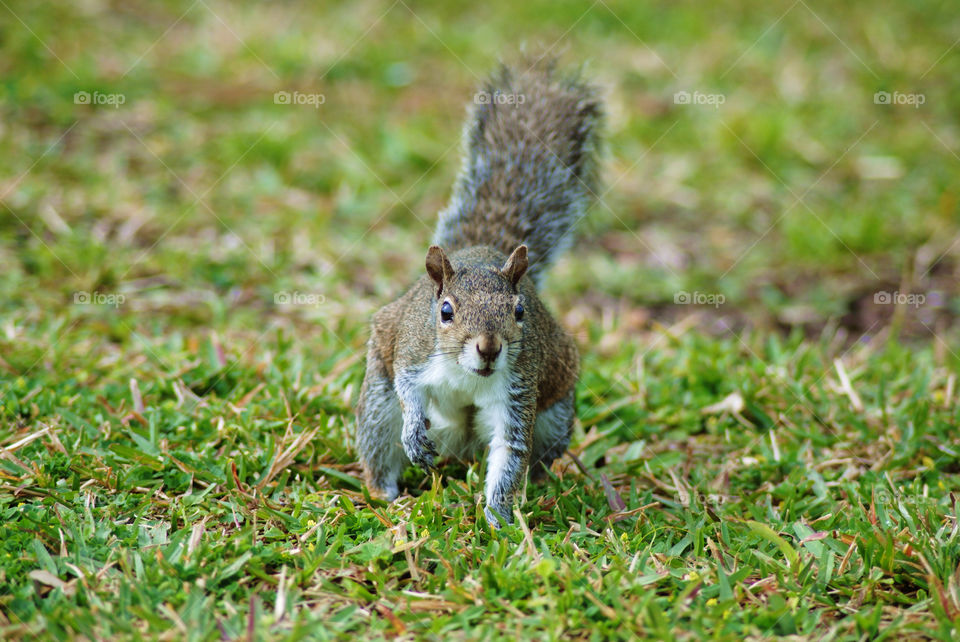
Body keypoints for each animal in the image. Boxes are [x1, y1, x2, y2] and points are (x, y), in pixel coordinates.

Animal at [356, 59, 602, 527]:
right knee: (379, 442)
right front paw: (413, 436)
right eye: (445, 311)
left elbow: (509, 453)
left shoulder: (519, 391)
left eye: (520, 311)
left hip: (554, 416)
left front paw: (499, 522)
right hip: (378, 405)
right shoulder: (414, 351)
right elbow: (408, 388)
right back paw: (387, 496)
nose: (489, 349)